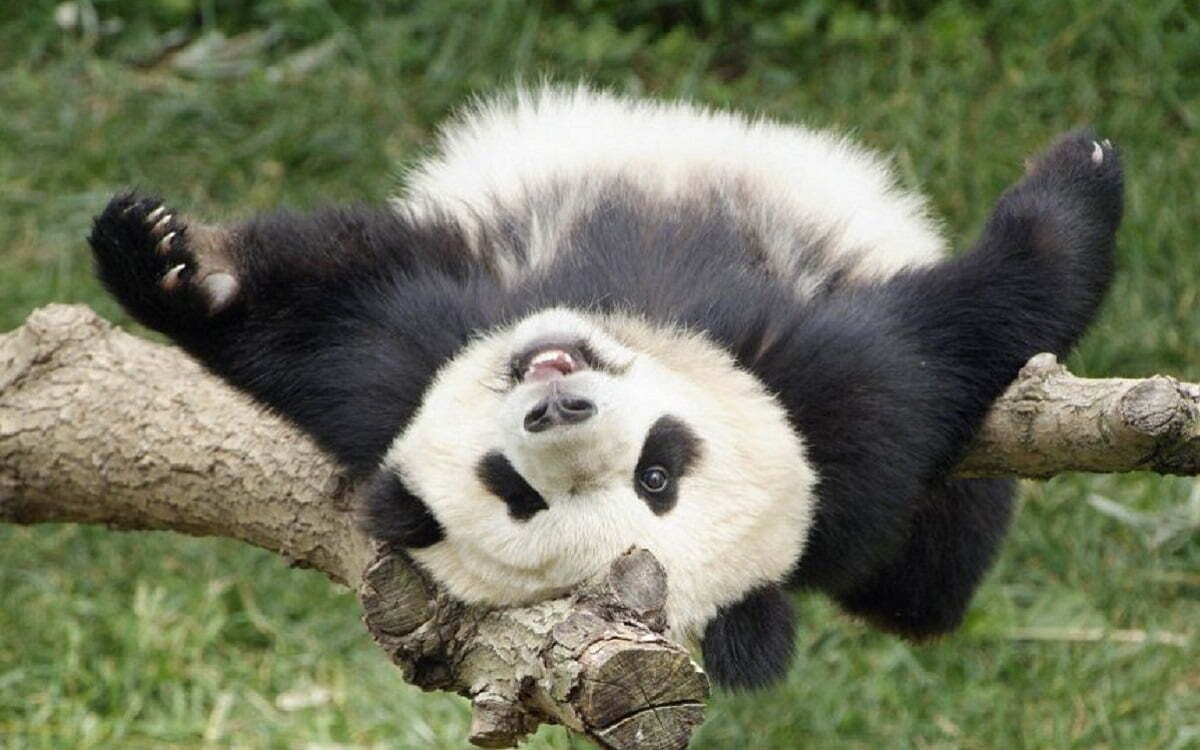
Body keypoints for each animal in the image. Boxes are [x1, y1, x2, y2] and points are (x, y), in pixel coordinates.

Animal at [88, 87, 1124, 690]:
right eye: (518, 490)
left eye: (657, 475)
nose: (559, 402)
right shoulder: (402, 371)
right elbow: (328, 317)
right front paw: (171, 264)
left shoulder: (847, 419)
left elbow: (964, 327)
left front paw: (1081, 173)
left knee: (934, 574)